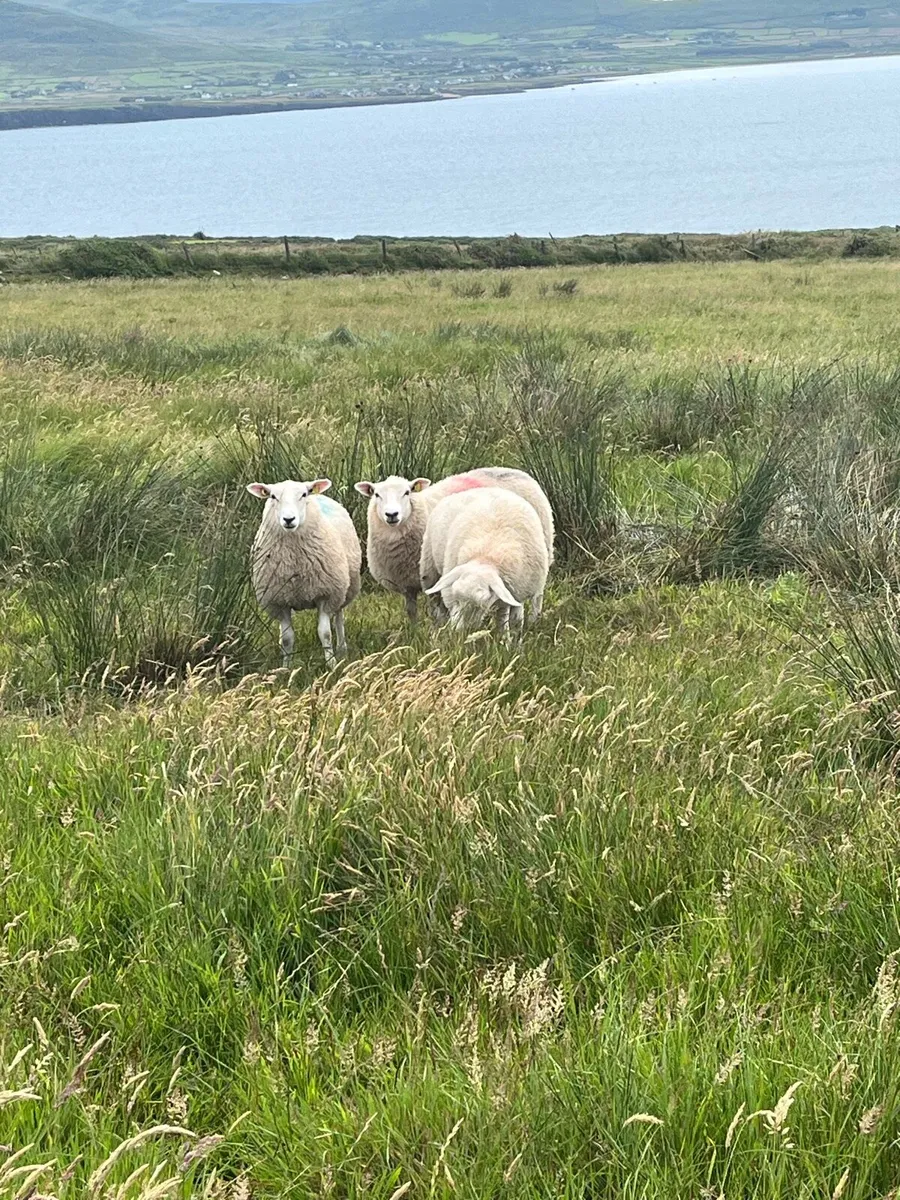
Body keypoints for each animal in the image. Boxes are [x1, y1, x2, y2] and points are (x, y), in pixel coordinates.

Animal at [246, 479, 361, 667]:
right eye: (273, 496)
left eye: (304, 494)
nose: (289, 519)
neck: (295, 562)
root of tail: (320, 495)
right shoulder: (279, 601)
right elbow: (287, 638)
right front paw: (285, 668)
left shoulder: (326, 594)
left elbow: (325, 633)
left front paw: (331, 664)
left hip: (344, 589)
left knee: (339, 617)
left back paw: (342, 649)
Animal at [354, 467, 554, 622]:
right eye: (377, 494)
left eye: (407, 492)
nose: (392, 514)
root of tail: (520, 472)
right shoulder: (408, 583)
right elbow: (411, 611)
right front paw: (413, 632)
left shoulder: (430, 577)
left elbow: (437, 612)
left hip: (542, 548)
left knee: (537, 595)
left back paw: (534, 620)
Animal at [420, 487, 549, 640]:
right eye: (457, 598)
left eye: (481, 602)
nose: (460, 632)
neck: (486, 558)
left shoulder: (515, 591)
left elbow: (507, 618)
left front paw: (507, 641)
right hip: (430, 568)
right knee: (436, 602)